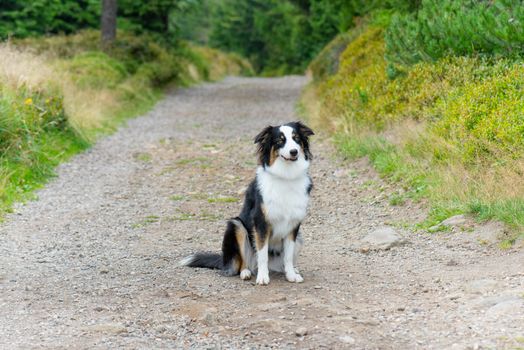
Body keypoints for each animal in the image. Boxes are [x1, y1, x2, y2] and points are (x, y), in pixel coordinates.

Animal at [179, 120, 316, 284]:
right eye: (280, 141)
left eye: (296, 139)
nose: (294, 152)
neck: (287, 176)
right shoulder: (261, 223)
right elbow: (262, 254)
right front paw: (263, 277)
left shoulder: (293, 225)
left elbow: (288, 256)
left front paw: (291, 275)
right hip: (237, 226)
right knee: (244, 262)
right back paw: (246, 272)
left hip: (299, 238)